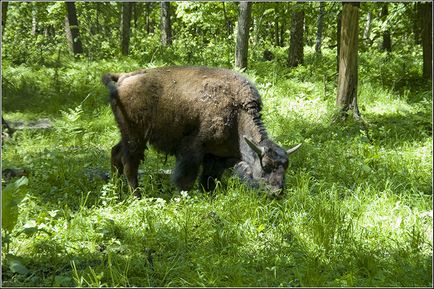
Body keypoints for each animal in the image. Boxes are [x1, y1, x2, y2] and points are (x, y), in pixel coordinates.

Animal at [103, 66, 300, 196]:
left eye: (285, 167)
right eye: (265, 166)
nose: (277, 192)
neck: (237, 113)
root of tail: (122, 78)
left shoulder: (216, 156)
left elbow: (209, 180)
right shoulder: (192, 151)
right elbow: (186, 178)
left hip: (127, 135)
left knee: (115, 153)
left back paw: (115, 189)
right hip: (135, 137)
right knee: (129, 163)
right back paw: (137, 196)